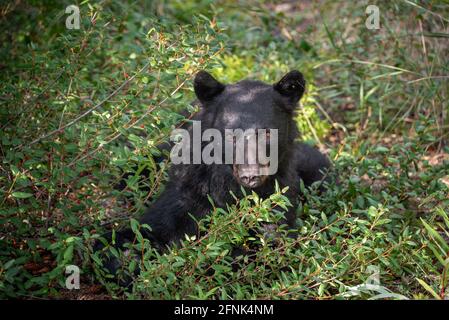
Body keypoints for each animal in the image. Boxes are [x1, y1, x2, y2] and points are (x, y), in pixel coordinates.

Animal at [96, 70, 328, 272]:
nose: (250, 176)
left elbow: (273, 241)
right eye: (231, 135)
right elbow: (146, 232)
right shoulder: (191, 189)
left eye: (267, 133)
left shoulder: (280, 193)